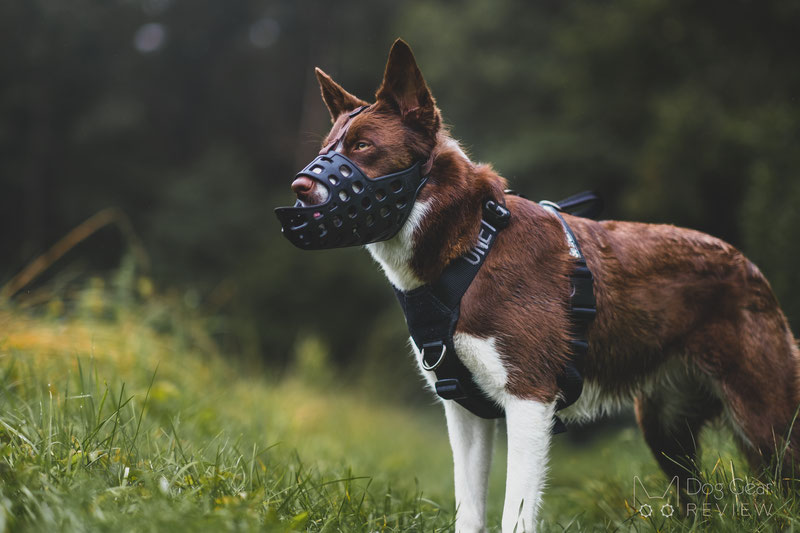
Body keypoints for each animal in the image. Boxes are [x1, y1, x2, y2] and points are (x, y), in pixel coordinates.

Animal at [276, 39, 800, 528]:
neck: (468, 248)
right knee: (698, 501)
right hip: (664, 427)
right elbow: (469, 510)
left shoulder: (529, 399)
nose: (298, 189)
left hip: (766, 422)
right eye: (325, 149)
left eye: (363, 147)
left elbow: (515, 513)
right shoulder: (464, 412)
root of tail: (748, 265)